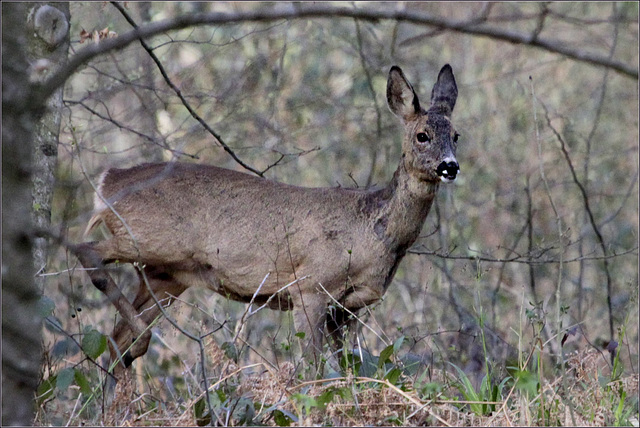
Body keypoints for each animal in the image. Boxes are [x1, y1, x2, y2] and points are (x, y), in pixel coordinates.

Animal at [72, 63, 458, 378]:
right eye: (422, 135)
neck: (373, 230)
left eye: (456, 136)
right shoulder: (309, 286)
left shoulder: (346, 308)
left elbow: (349, 368)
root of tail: (107, 182)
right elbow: (314, 369)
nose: (450, 166)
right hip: (148, 239)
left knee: (115, 340)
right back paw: (139, 345)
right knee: (85, 250)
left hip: (164, 275)